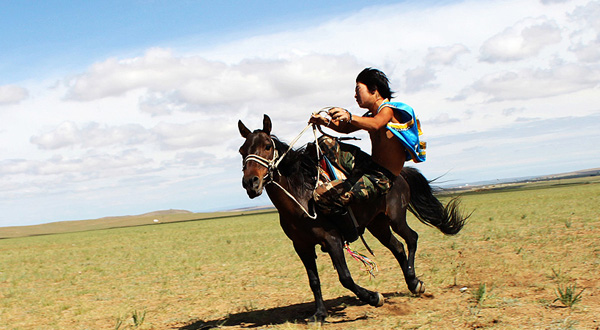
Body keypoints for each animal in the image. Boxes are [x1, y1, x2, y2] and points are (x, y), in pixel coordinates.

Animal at [238, 114, 468, 320]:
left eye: (267, 146)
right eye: (242, 151)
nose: (251, 182)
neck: (301, 198)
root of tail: (398, 174)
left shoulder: (332, 240)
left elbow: (345, 278)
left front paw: (374, 298)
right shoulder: (302, 246)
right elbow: (314, 280)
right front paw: (319, 314)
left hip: (396, 218)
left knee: (411, 238)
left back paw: (414, 281)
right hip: (378, 224)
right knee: (397, 247)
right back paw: (413, 283)